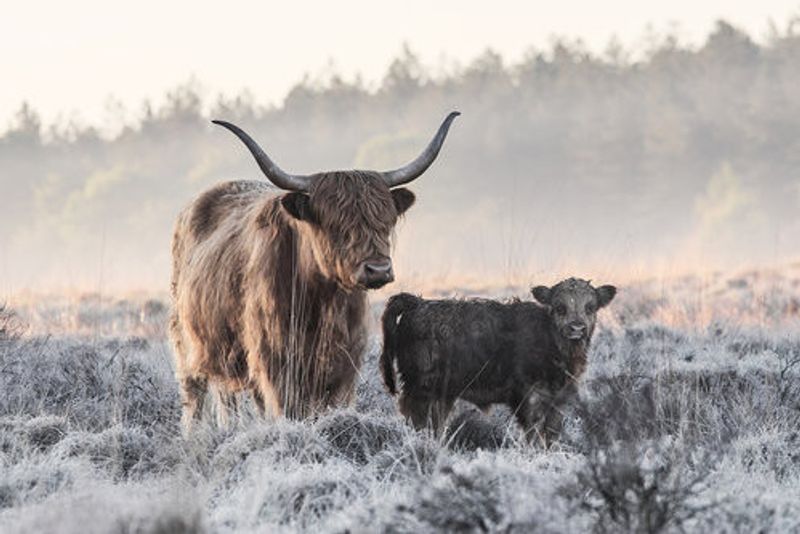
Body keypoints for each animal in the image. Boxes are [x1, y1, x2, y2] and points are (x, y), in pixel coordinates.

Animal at [170, 112, 459, 432]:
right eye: (335, 226)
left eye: (385, 221)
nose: (378, 269)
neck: (323, 300)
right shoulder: (276, 363)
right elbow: (288, 409)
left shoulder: (345, 366)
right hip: (186, 343)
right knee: (194, 397)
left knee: (228, 397)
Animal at [380, 278, 616, 447]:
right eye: (559, 307)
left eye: (590, 307)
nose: (577, 328)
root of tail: (417, 303)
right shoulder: (529, 396)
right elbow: (534, 432)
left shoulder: (559, 398)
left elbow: (551, 432)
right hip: (421, 387)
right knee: (418, 419)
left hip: (442, 394)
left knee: (435, 422)